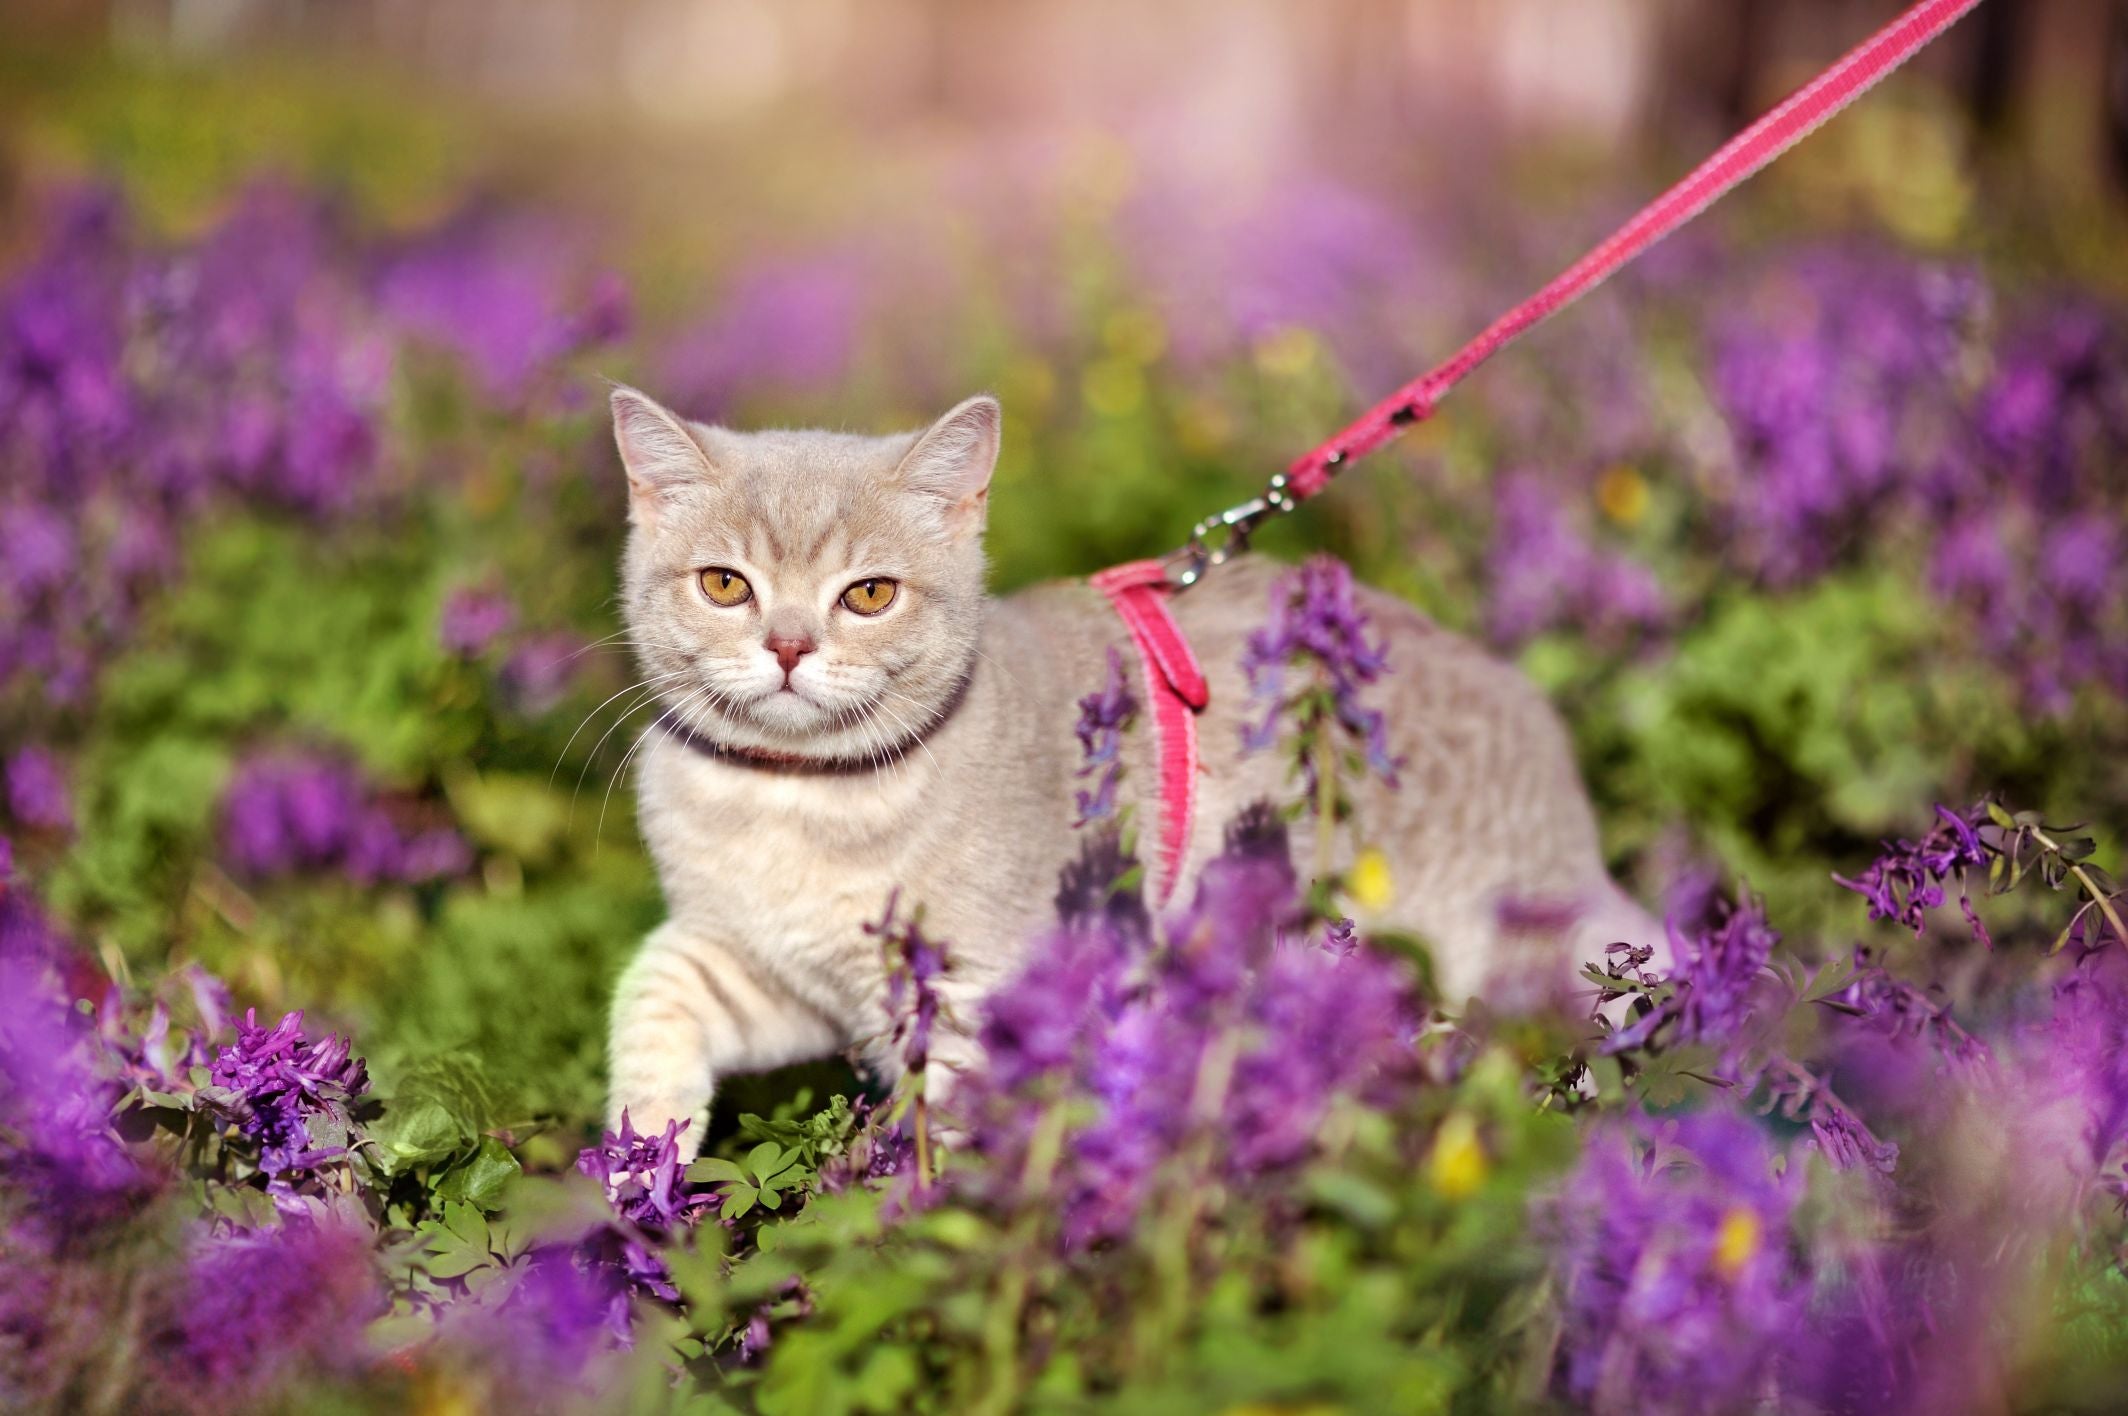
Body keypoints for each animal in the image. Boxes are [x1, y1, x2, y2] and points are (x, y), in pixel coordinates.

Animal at [600, 383, 1659, 1149]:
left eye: (868, 595)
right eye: (725, 584)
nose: (787, 646)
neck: (790, 799)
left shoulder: (972, 999)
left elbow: (947, 1149)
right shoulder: (773, 975)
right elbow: (653, 990)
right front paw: (641, 1156)